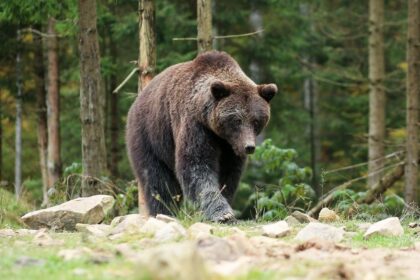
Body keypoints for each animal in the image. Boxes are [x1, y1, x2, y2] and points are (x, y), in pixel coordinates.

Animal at [126, 49, 278, 221]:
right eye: (237, 120)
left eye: (256, 121)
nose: (249, 147)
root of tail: (137, 100)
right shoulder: (195, 125)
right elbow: (196, 164)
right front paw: (222, 213)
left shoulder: (230, 147)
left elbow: (228, 174)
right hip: (149, 135)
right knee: (157, 179)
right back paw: (164, 211)